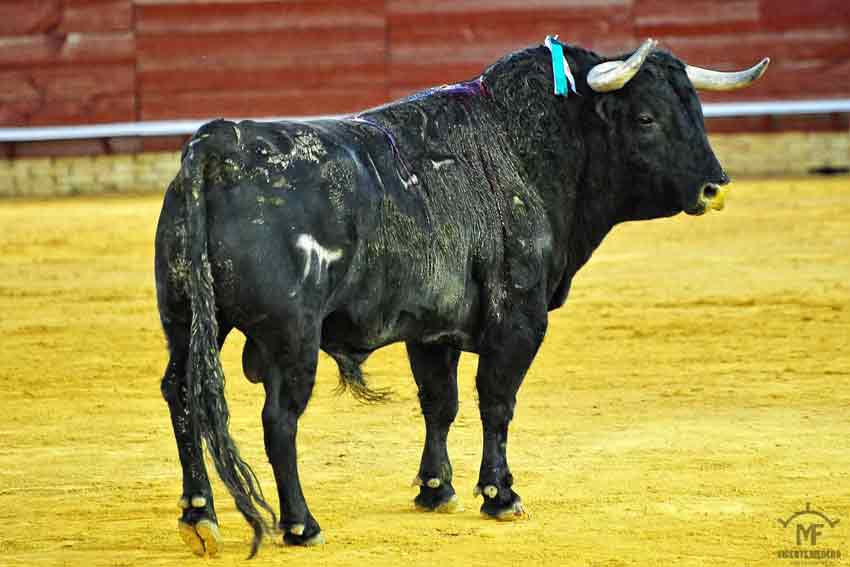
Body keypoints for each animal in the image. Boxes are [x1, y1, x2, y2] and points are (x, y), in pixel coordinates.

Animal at [154, 41, 768, 560]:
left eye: (696, 112)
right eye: (645, 118)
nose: (716, 187)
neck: (528, 150)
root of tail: (215, 146)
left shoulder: (431, 329)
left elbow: (439, 403)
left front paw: (435, 489)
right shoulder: (518, 319)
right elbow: (496, 402)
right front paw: (500, 495)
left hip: (186, 321)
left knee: (182, 395)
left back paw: (199, 516)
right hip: (291, 338)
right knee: (280, 418)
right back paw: (302, 524)